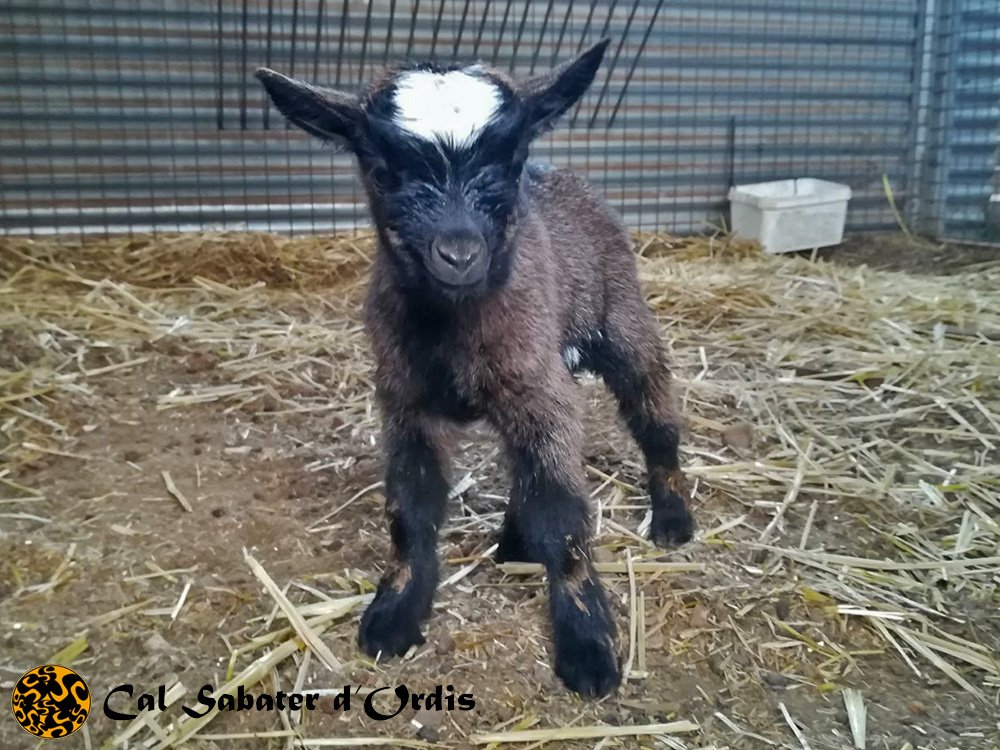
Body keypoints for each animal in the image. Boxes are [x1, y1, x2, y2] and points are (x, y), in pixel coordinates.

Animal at [256, 39, 693, 698]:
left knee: (652, 410)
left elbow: (562, 512)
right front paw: (395, 613)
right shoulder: (407, 403)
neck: (453, 330)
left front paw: (587, 645)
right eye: (381, 168)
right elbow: (410, 508)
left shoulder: (540, 390)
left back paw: (671, 516)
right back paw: (514, 541)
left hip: (620, 320)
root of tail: (563, 176)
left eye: (509, 161)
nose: (459, 255)